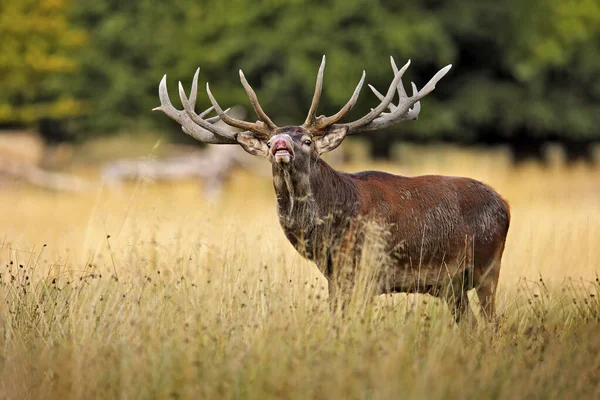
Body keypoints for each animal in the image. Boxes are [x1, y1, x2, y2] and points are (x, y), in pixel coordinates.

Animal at [154, 56, 510, 324]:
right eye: (268, 143)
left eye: (307, 140)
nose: (281, 145)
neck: (328, 230)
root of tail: (504, 204)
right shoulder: (335, 277)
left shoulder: (367, 271)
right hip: (451, 286)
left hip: (488, 265)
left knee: (492, 323)